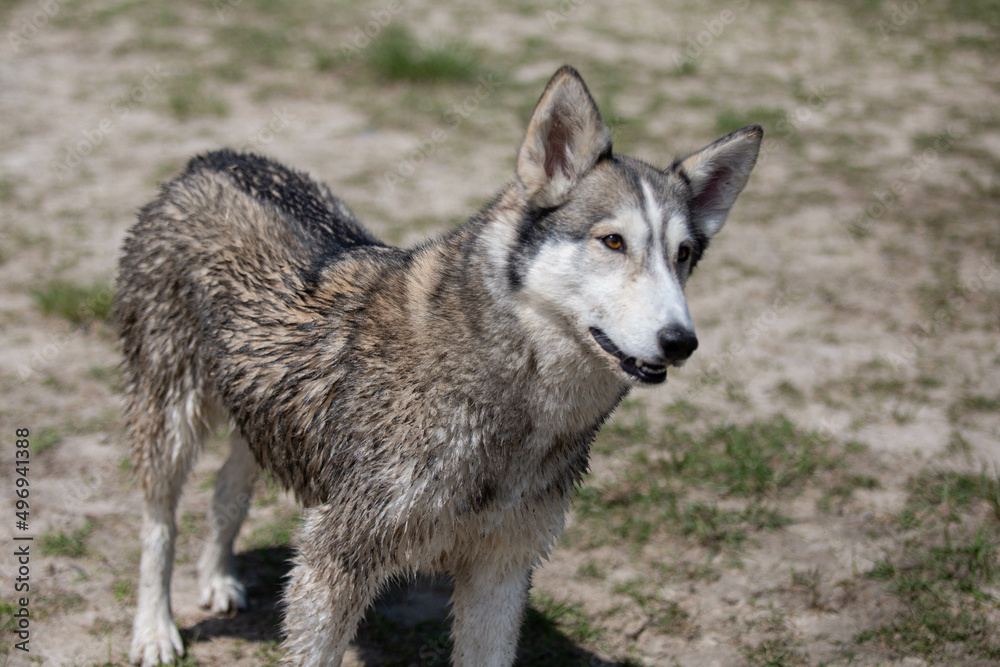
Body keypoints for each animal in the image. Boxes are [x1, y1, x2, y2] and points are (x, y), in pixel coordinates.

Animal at [118, 65, 761, 666]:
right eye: (612, 242)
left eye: (683, 255)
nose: (681, 341)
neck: (513, 408)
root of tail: (208, 161)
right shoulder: (332, 559)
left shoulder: (503, 565)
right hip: (172, 419)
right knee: (157, 524)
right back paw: (154, 631)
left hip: (257, 412)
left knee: (227, 486)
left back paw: (218, 579)